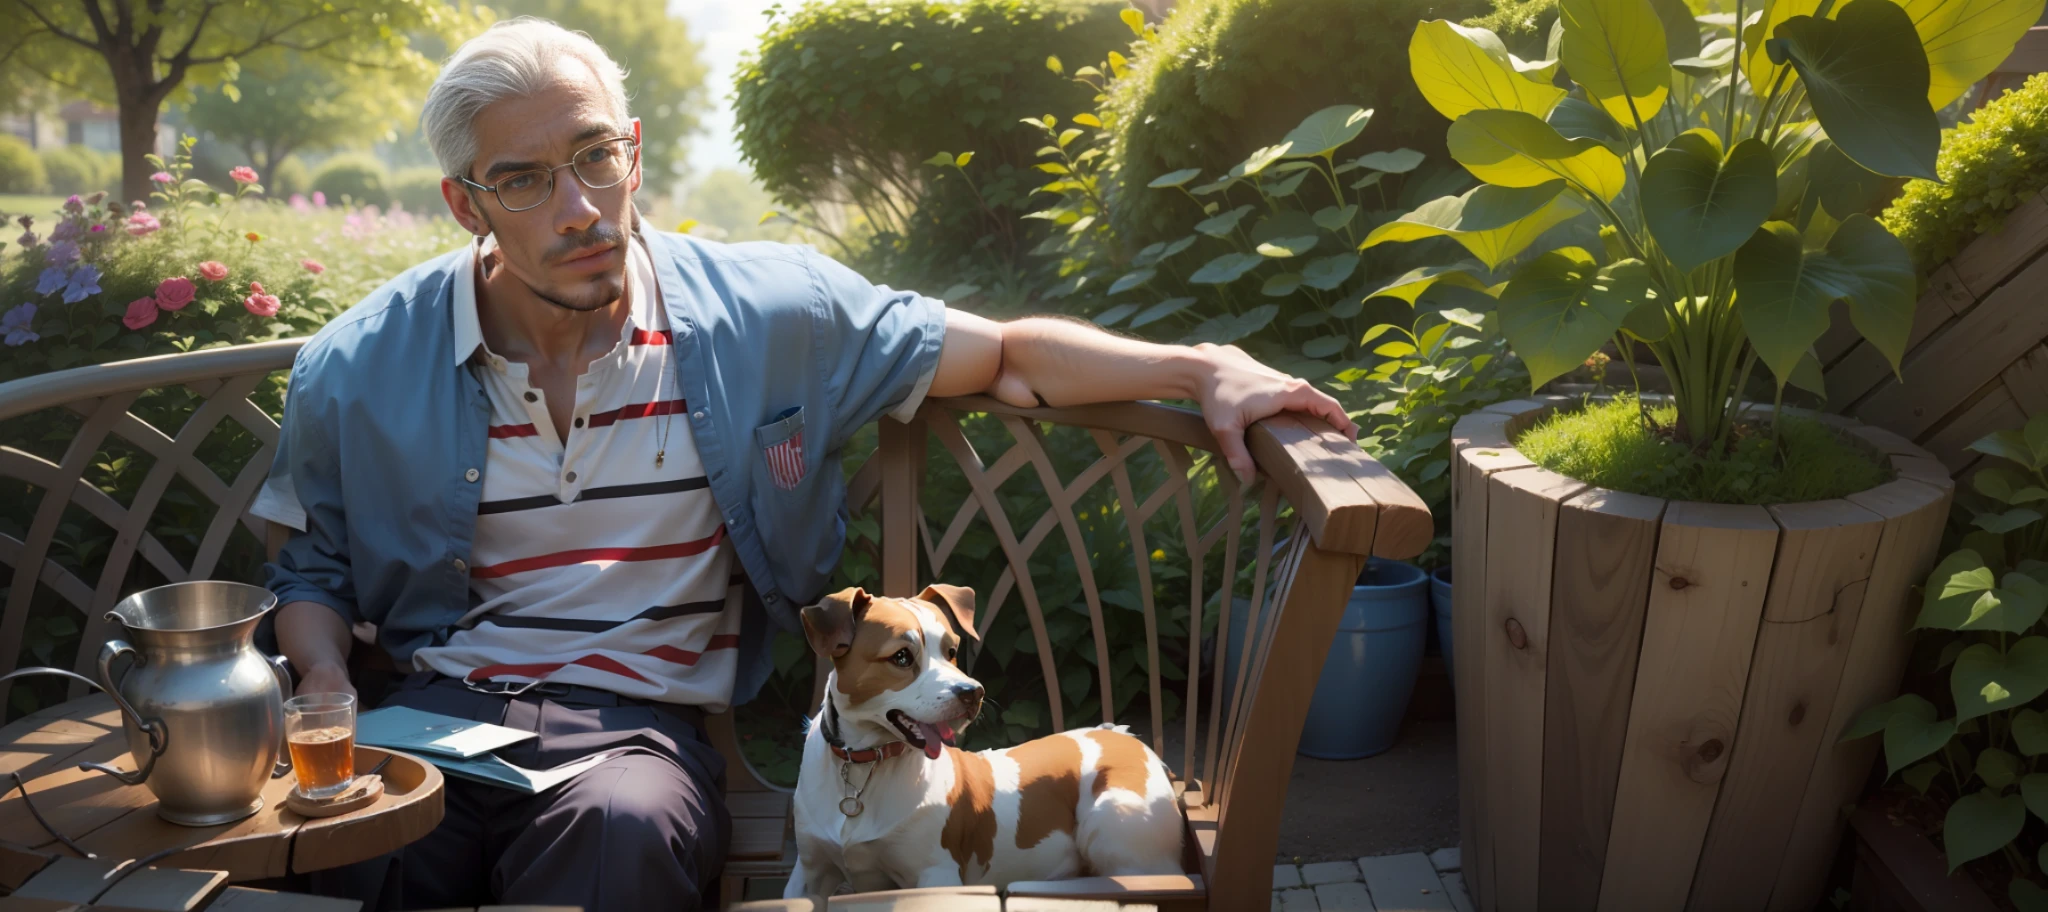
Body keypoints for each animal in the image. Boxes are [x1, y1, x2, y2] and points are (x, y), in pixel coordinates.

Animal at [782, 582, 1196, 897]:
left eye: (951, 651)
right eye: (901, 657)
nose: (973, 692)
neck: (862, 766)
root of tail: (1128, 738)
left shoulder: (935, 876)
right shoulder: (809, 875)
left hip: (1116, 829)